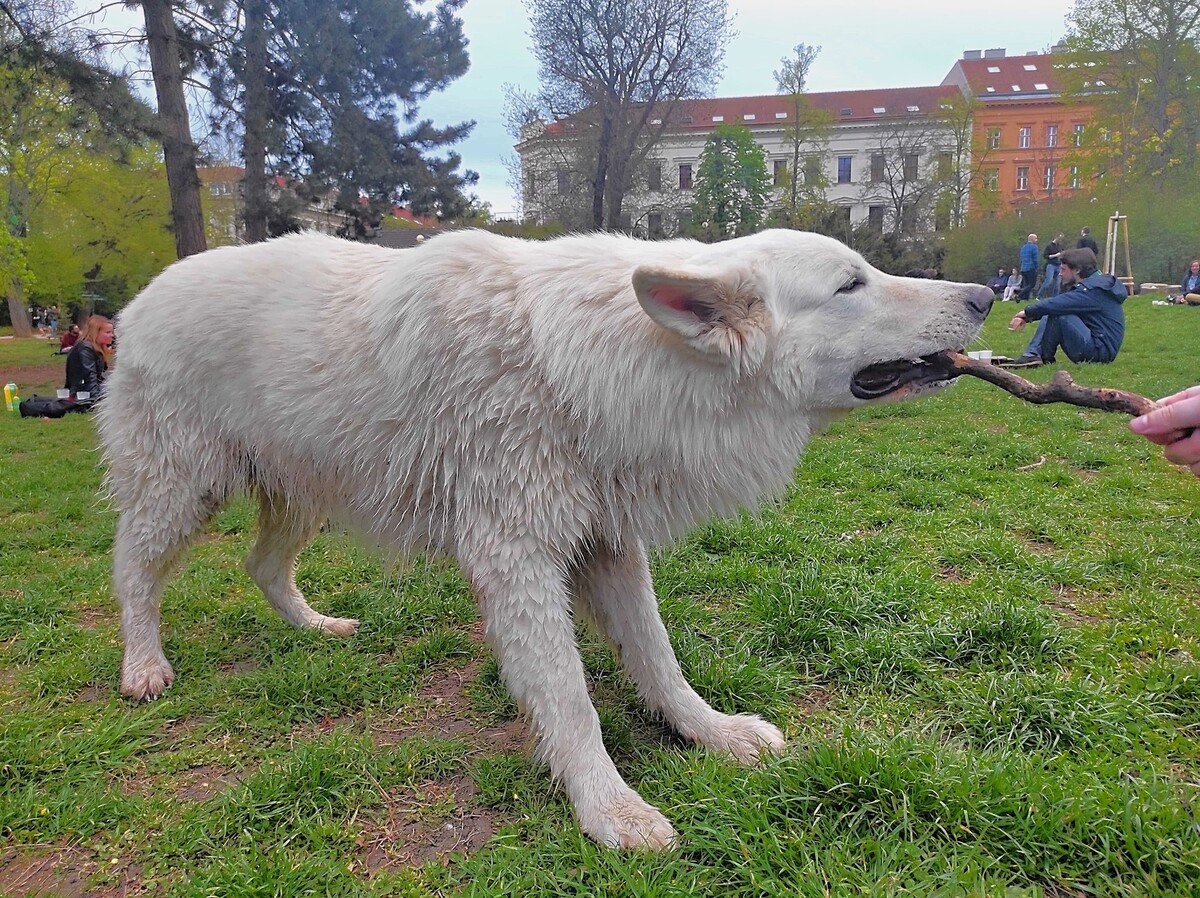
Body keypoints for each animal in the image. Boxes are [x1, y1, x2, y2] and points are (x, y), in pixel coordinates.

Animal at [96, 229, 993, 849]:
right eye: (851, 282)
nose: (986, 295)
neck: (601, 366)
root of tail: (138, 301)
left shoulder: (609, 547)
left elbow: (661, 663)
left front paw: (711, 734)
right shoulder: (518, 561)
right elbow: (571, 700)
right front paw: (609, 811)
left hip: (305, 492)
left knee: (261, 566)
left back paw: (316, 631)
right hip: (180, 491)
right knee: (133, 573)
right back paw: (143, 668)